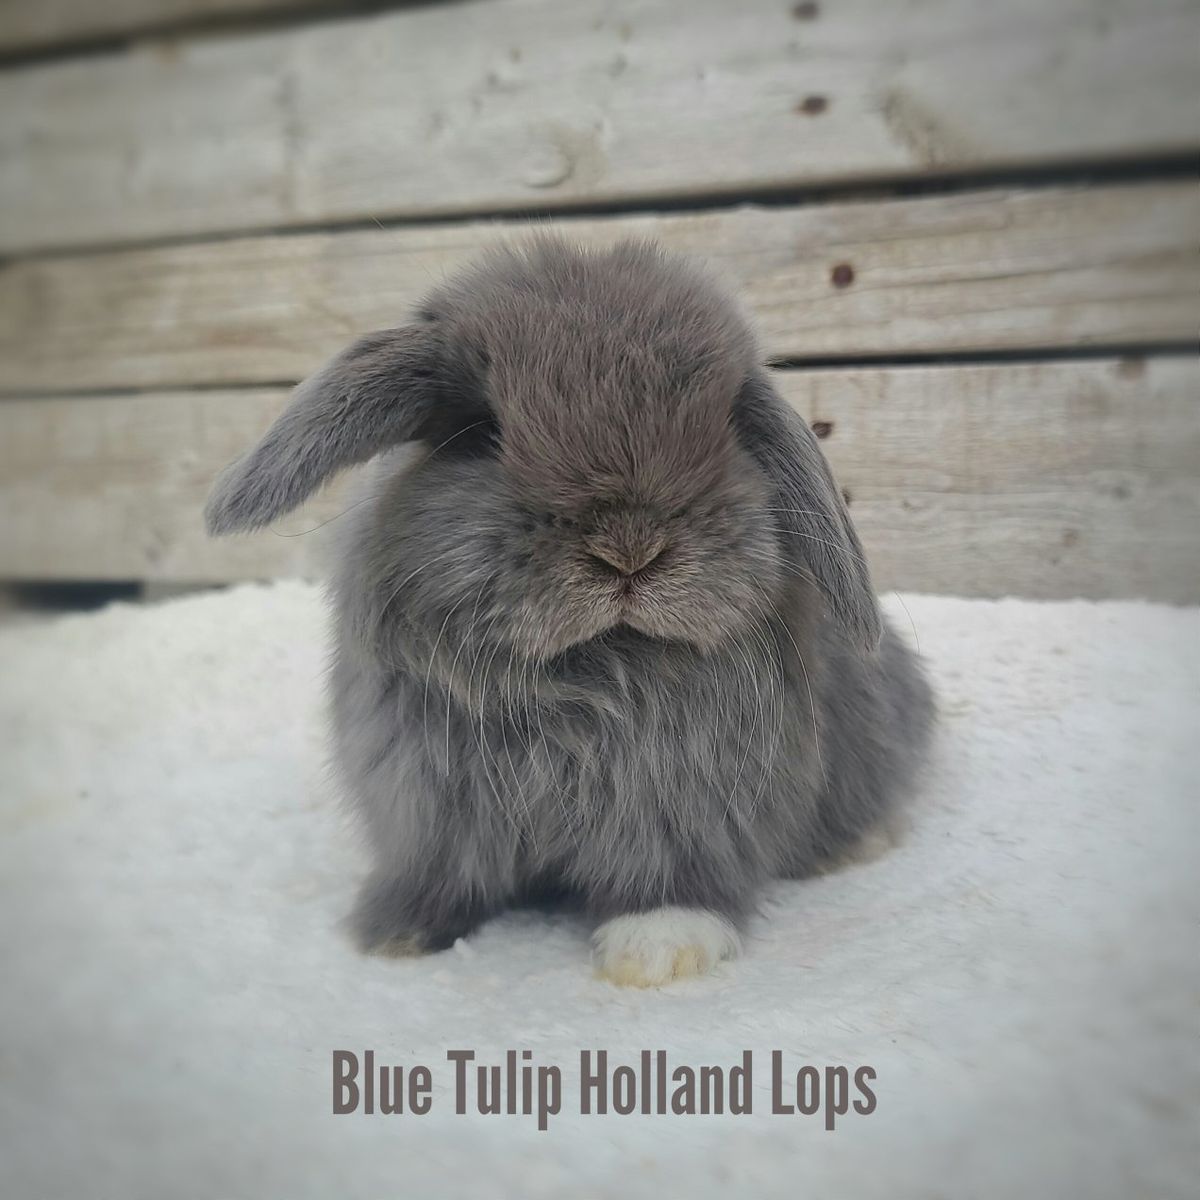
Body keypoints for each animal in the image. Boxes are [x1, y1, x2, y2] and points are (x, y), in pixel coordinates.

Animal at [205, 237, 934, 987]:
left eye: (729, 427)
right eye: (480, 430)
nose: (630, 549)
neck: (586, 674)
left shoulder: (689, 802)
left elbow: (672, 880)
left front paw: (657, 951)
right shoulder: (426, 803)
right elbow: (441, 872)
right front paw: (396, 933)